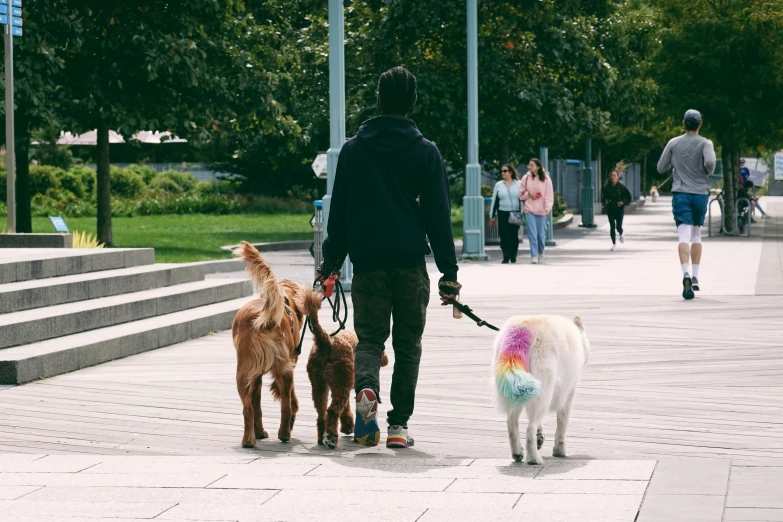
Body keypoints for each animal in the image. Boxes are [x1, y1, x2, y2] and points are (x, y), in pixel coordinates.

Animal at [231, 241, 304, 446]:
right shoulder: (289, 364)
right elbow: (291, 399)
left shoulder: (256, 376)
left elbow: (257, 406)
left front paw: (260, 432)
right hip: (284, 369)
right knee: (286, 404)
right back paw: (284, 433)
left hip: (244, 373)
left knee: (248, 408)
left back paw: (249, 440)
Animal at [302, 288, 388, 446]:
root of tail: (326, 342)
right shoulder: (345, 384)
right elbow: (345, 407)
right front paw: (348, 426)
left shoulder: (343, 385)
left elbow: (346, 408)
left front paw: (348, 425)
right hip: (340, 380)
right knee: (332, 410)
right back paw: (331, 437)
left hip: (319, 384)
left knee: (321, 413)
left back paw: (321, 437)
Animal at [494, 312, 592, 464]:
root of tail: (521, 331)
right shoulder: (569, 391)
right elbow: (562, 422)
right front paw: (559, 450)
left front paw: (540, 435)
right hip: (544, 385)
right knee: (530, 427)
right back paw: (534, 458)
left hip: (516, 387)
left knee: (511, 422)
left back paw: (517, 452)